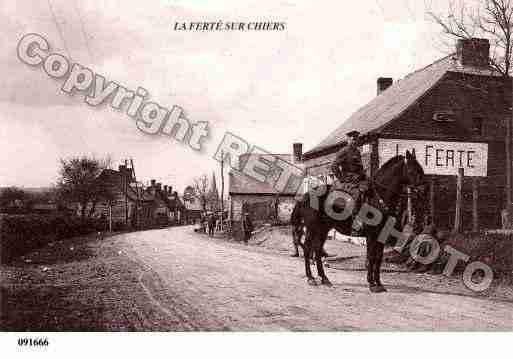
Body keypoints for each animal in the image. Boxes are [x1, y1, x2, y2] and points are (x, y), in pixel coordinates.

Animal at [290, 150, 422, 294]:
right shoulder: (371, 236)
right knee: (308, 248)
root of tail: (305, 196)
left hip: (323, 230)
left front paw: (379, 283)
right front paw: (372, 284)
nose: (422, 190)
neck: (378, 198)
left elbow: (378, 258)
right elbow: (371, 257)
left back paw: (324, 278)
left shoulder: (380, 236)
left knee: (318, 250)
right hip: (312, 228)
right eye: (412, 170)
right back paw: (311, 278)